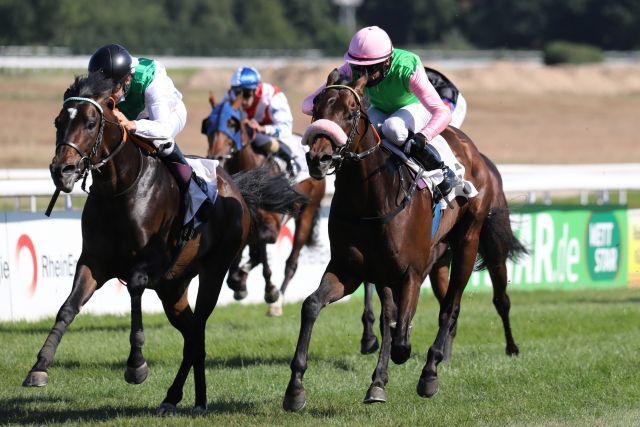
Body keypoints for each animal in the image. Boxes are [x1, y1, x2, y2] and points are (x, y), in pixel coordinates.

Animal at [21, 72, 306, 414]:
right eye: (59, 121)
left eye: (90, 123)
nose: (60, 170)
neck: (119, 189)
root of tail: (235, 187)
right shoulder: (93, 262)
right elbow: (68, 307)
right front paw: (39, 367)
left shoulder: (153, 263)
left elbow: (134, 286)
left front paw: (136, 365)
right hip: (173, 289)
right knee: (193, 335)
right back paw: (190, 398)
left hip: (213, 271)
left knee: (198, 328)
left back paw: (182, 396)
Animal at [204, 93, 324, 316]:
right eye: (208, 124)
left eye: (231, 123)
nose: (215, 156)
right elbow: (250, 249)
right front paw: (239, 281)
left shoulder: (272, 225)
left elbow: (259, 249)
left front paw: (267, 289)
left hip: (306, 214)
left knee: (291, 262)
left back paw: (277, 303)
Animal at [284, 71, 524, 412]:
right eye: (316, 108)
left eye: (350, 113)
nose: (319, 158)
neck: (371, 199)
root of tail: (474, 152)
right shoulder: (351, 269)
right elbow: (313, 306)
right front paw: (295, 389)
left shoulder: (410, 272)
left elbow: (400, 339)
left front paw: (406, 366)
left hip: (471, 240)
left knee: (456, 305)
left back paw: (438, 370)